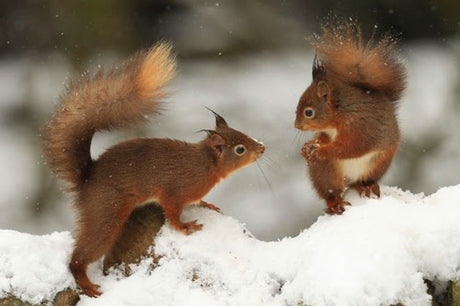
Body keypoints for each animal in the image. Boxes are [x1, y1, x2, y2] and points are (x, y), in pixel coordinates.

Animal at [44, 43, 266, 296]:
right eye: (240, 149)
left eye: (243, 133)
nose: (262, 148)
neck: (206, 164)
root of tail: (86, 178)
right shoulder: (175, 190)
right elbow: (172, 211)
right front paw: (184, 226)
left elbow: (197, 201)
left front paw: (207, 204)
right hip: (106, 211)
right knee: (80, 256)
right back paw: (86, 284)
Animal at [294, 20, 406, 214]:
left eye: (308, 112)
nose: (296, 125)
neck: (340, 114)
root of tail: (349, 180)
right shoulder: (329, 132)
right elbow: (323, 138)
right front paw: (309, 146)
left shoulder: (359, 128)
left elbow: (349, 148)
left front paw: (321, 150)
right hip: (326, 172)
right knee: (331, 192)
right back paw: (335, 203)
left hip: (378, 164)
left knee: (362, 180)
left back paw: (366, 186)